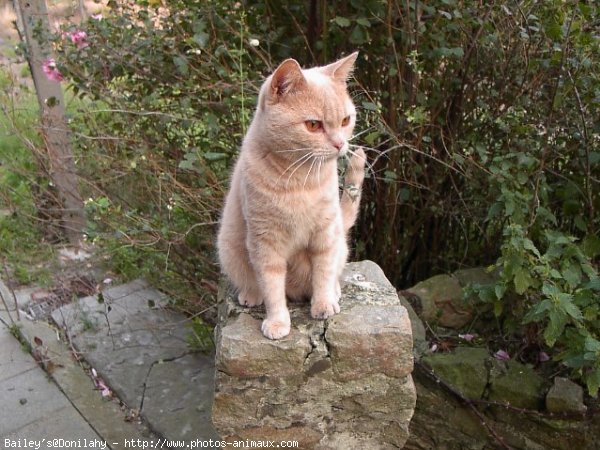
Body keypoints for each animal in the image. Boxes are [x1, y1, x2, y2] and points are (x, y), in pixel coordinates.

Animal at [217, 52, 366, 340]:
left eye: (345, 121)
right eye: (313, 125)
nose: (340, 144)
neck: (299, 181)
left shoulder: (325, 233)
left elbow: (323, 272)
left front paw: (323, 304)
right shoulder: (265, 242)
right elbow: (272, 287)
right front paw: (277, 322)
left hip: (339, 240)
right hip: (228, 249)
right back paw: (251, 294)